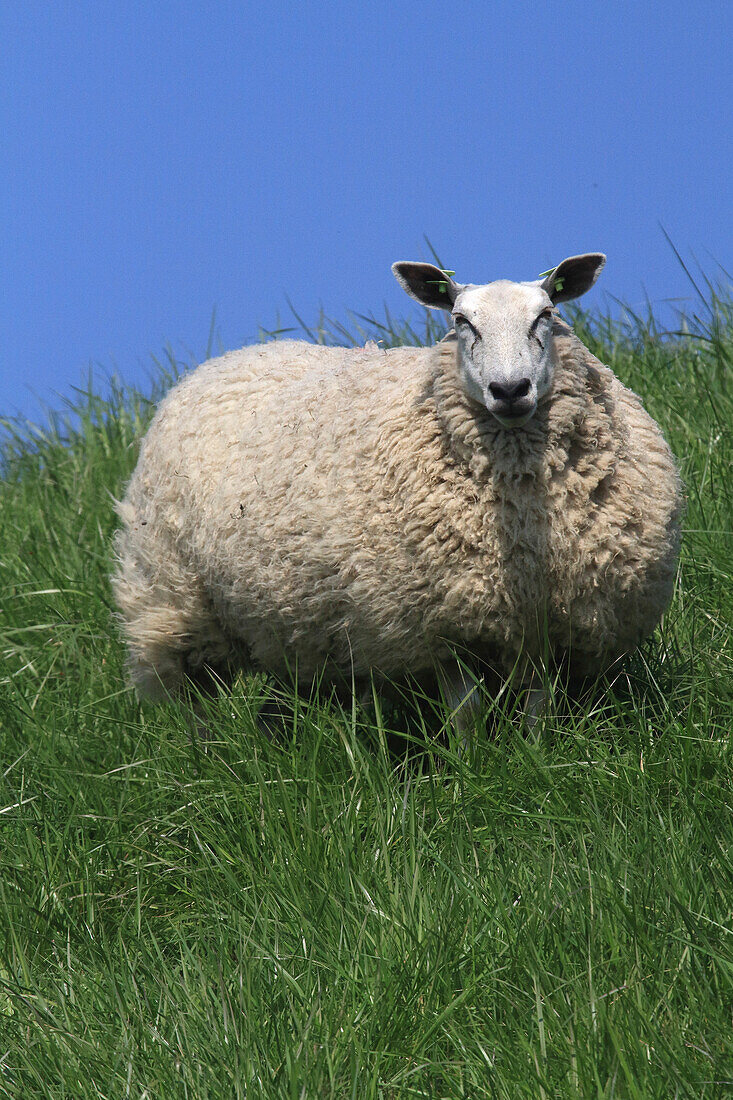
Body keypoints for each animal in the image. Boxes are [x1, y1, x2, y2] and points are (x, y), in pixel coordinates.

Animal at [111, 255, 682, 721]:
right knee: (195, 705)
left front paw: (533, 759)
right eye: (461, 320)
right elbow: (467, 713)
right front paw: (473, 772)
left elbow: (538, 711)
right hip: (173, 602)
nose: (509, 390)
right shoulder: (439, 625)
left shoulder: (547, 622)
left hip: (289, 623)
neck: (522, 521)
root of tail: (228, 358)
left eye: (545, 314)